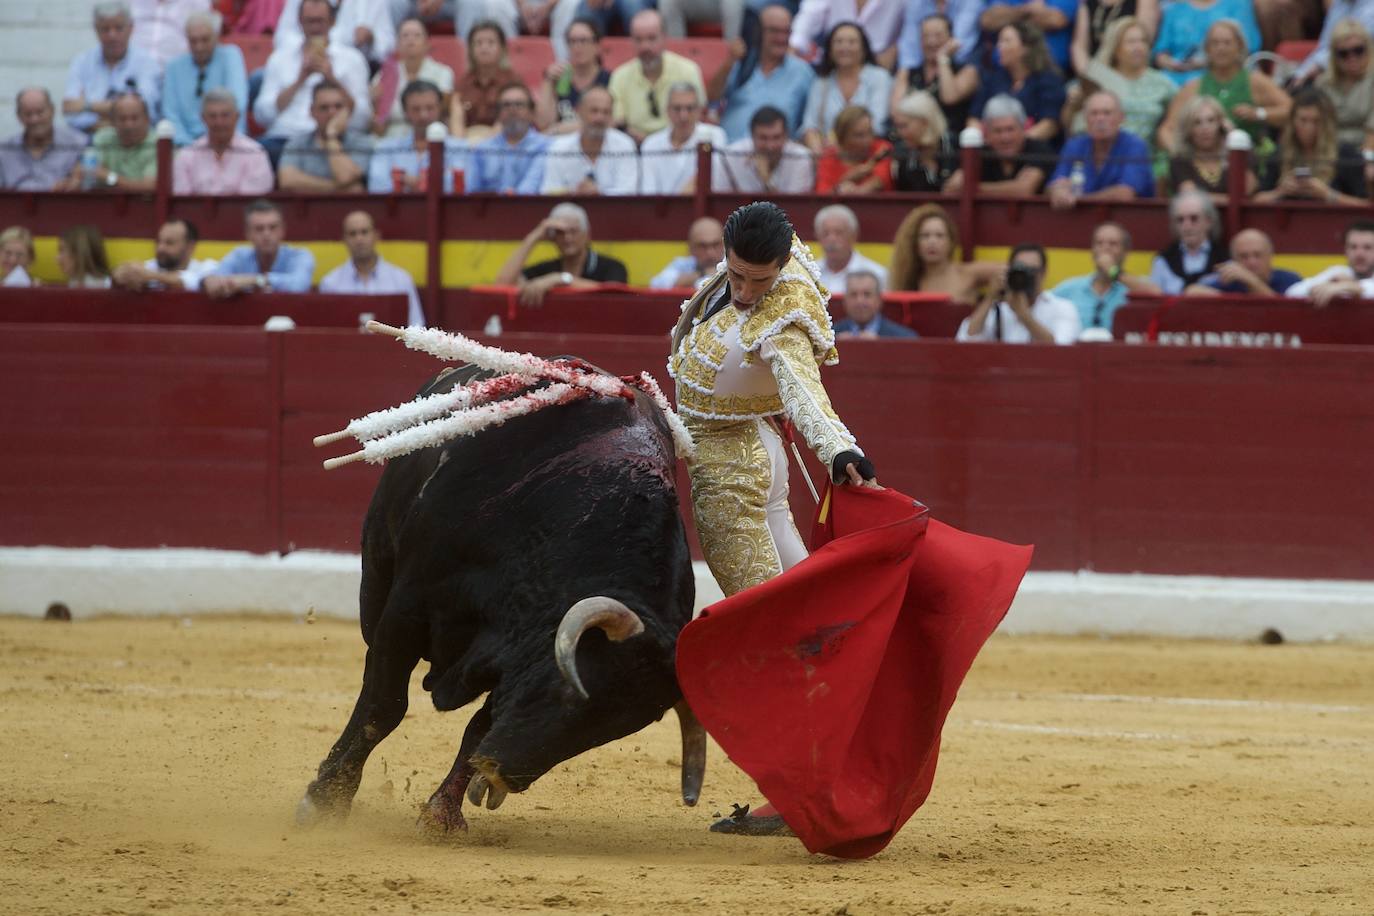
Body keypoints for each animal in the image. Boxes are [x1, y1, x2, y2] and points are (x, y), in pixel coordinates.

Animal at [300, 362, 708, 829]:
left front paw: (441, 815)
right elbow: (383, 706)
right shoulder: (408, 611)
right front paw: (325, 798)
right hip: (377, 574)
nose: (502, 774)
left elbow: (478, 726)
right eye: (569, 694)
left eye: (612, 731)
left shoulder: (518, 654)